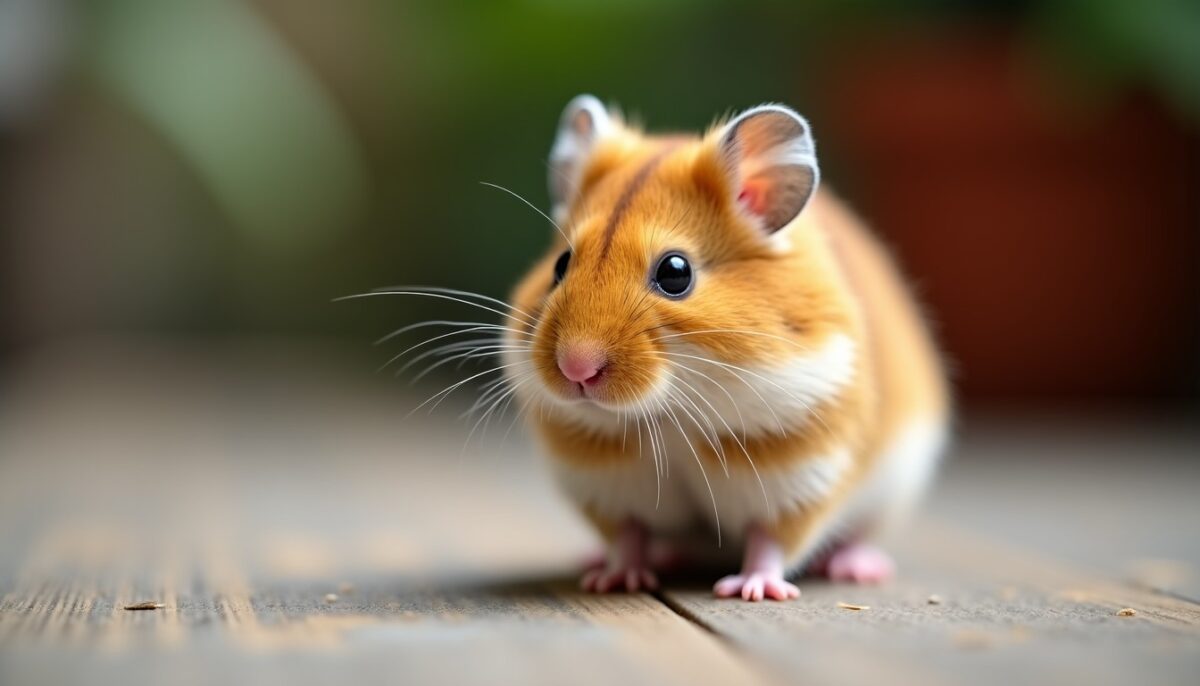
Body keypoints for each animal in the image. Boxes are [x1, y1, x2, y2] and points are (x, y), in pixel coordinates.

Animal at [501, 95, 949, 601]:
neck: (669, 414)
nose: (576, 369)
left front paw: (753, 591)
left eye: (675, 272)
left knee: (858, 536)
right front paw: (614, 581)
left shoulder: (801, 480)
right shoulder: (607, 489)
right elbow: (629, 537)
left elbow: (770, 542)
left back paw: (855, 567)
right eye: (560, 265)